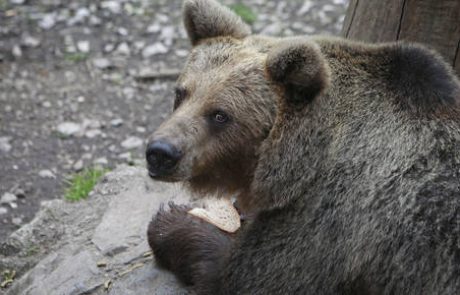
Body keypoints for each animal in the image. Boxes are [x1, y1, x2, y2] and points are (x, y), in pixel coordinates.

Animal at [146, 0, 460, 294]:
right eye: (181, 93)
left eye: (220, 115)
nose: (160, 152)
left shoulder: (330, 214)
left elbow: (249, 276)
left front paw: (170, 221)